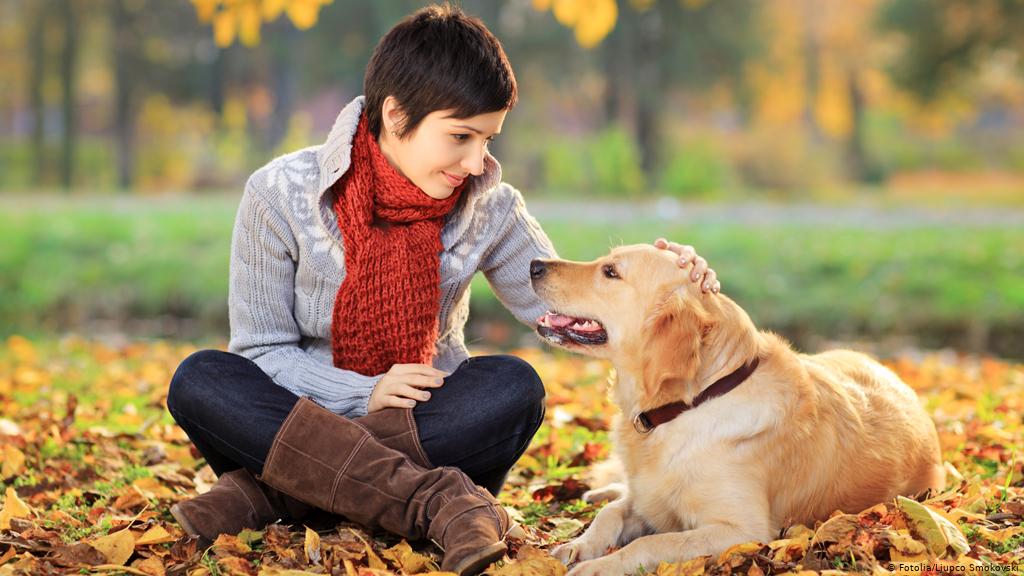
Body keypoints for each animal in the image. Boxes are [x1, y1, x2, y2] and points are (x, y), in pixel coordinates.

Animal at [532, 242, 937, 573]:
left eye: (610, 272)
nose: (535, 264)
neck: (692, 403)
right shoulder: (647, 498)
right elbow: (612, 512)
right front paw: (578, 545)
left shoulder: (742, 530)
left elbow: (652, 542)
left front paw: (598, 566)